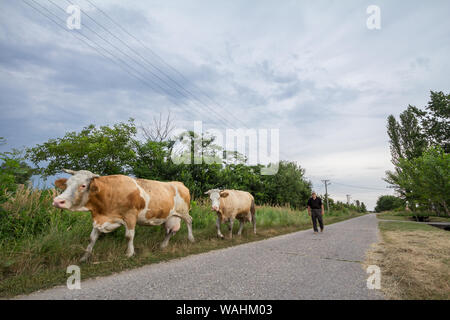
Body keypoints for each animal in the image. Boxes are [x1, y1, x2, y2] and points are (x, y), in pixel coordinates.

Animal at [52, 169, 193, 262]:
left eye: (83, 185)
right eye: (67, 184)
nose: (58, 201)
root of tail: (179, 183)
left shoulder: (130, 216)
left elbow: (129, 236)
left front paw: (129, 254)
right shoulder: (100, 220)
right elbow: (92, 238)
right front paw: (84, 257)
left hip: (183, 211)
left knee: (189, 221)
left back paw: (191, 239)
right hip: (170, 216)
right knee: (170, 231)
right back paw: (163, 245)